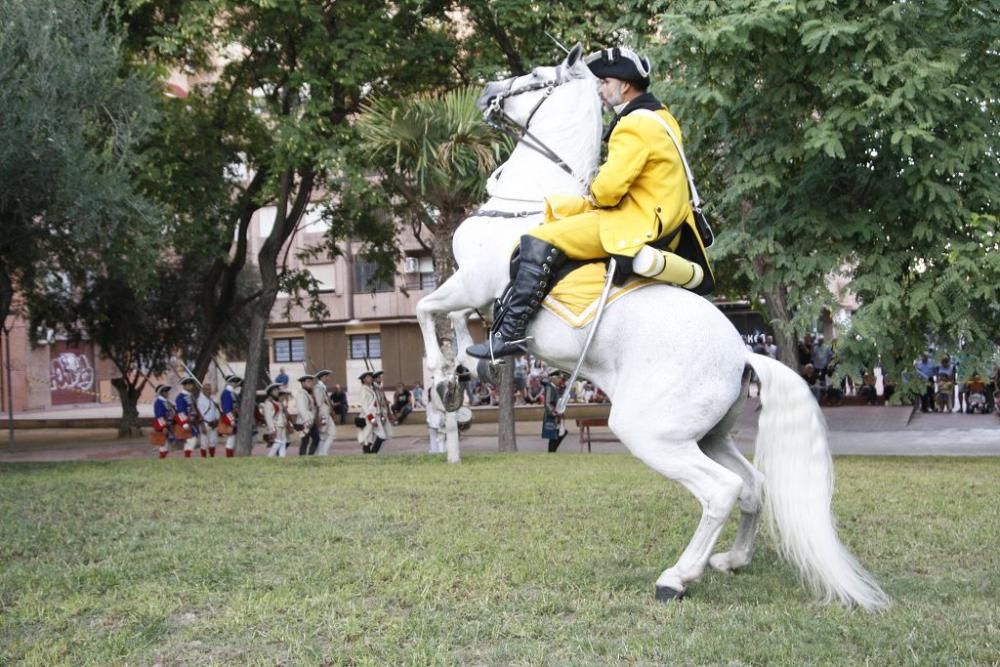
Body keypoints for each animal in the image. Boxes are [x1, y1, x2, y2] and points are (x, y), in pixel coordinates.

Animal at [418, 43, 888, 612]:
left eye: (535, 75)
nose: (487, 91)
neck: (529, 201)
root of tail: (743, 354)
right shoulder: (476, 291)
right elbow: (454, 319)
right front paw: (468, 371)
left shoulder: (472, 282)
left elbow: (428, 308)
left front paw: (446, 376)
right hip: (705, 436)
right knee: (752, 485)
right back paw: (732, 560)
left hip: (652, 433)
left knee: (720, 491)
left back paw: (677, 578)